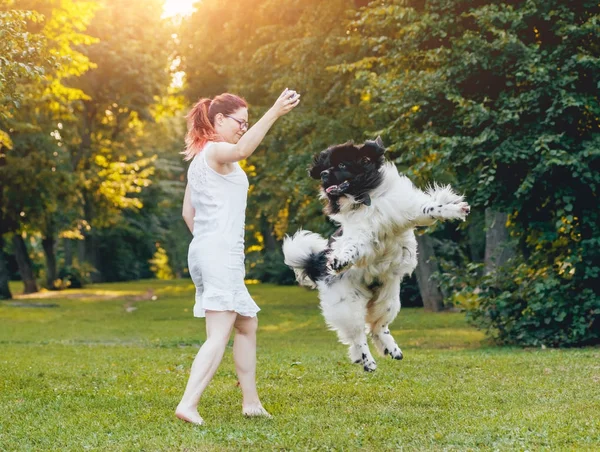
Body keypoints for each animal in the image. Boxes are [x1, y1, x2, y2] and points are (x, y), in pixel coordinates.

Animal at [284, 138, 472, 370]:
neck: (364, 197)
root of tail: (316, 264)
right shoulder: (361, 236)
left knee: (377, 328)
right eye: (325, 167)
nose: (324, 174)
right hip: (348, 306)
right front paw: (340, 260)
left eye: (342, 165)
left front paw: (455, 209)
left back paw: (392, 350)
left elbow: (430, 208)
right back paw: (367, 362)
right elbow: (352, 247)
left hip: (388, 300)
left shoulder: (404, 209)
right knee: (358, 336)